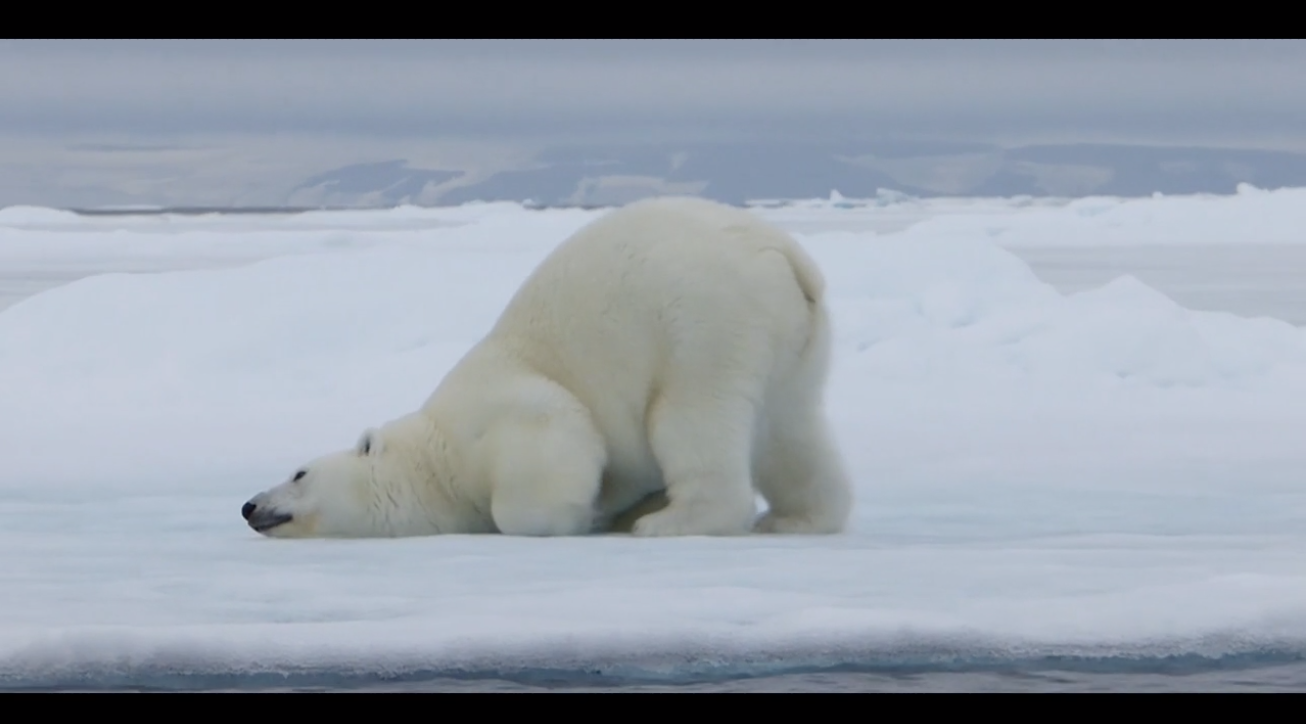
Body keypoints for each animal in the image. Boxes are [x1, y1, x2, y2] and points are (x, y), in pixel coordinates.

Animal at [240, 196, 852, 535]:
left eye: (298, 473)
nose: (249, 505)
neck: (437, 454)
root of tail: (781, 253)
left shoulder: (502, 413)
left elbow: (559, 431)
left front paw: (591, 512)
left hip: (703, 324)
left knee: (690, 419)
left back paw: (672, 522)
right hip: (792, 337)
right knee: (791, 429)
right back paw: (797, 518)